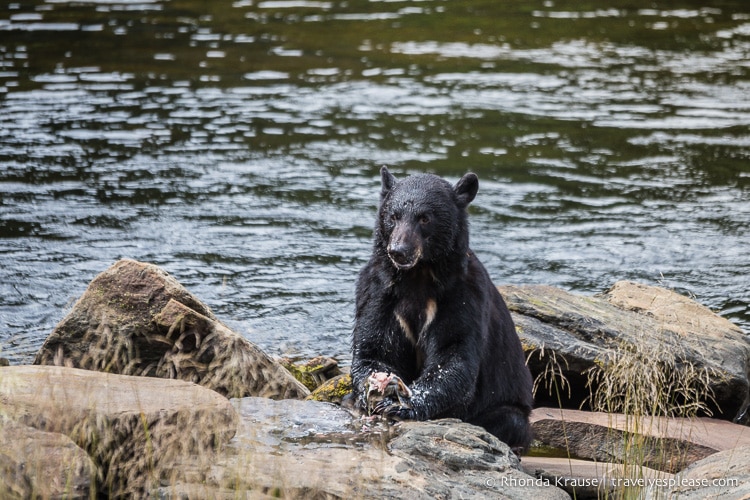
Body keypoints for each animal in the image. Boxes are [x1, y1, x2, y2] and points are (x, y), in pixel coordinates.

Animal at [352, 167, 536, 454]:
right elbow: (375, 345)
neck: (417, 277)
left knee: (510, 421)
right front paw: (374, 391)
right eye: (393, 216)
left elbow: (453, 353)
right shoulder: (379, 292)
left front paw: (403, 404)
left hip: (506, 407)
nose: (399, 251)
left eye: (425, 218)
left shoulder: (462, 295)